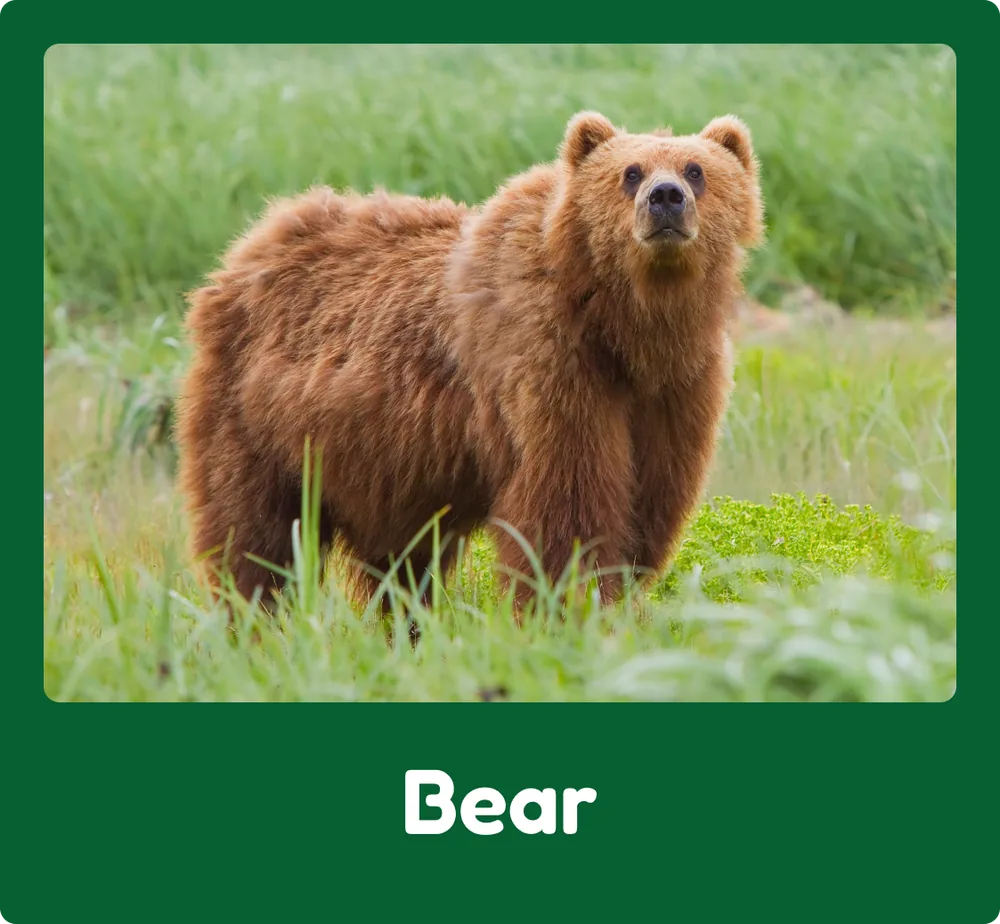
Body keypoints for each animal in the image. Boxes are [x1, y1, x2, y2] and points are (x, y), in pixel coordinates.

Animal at [175, 110, 764, 614]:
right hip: (257, 420)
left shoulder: (676, 390)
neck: (625, 329)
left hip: (384, 466)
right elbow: (566, 508)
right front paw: (568, 605)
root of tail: (248, 246)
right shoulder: (549, 366)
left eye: (696, 170)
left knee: (401, 563)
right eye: (630, 172)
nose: (665, 198)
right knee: (255, 537)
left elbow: (648, 504)